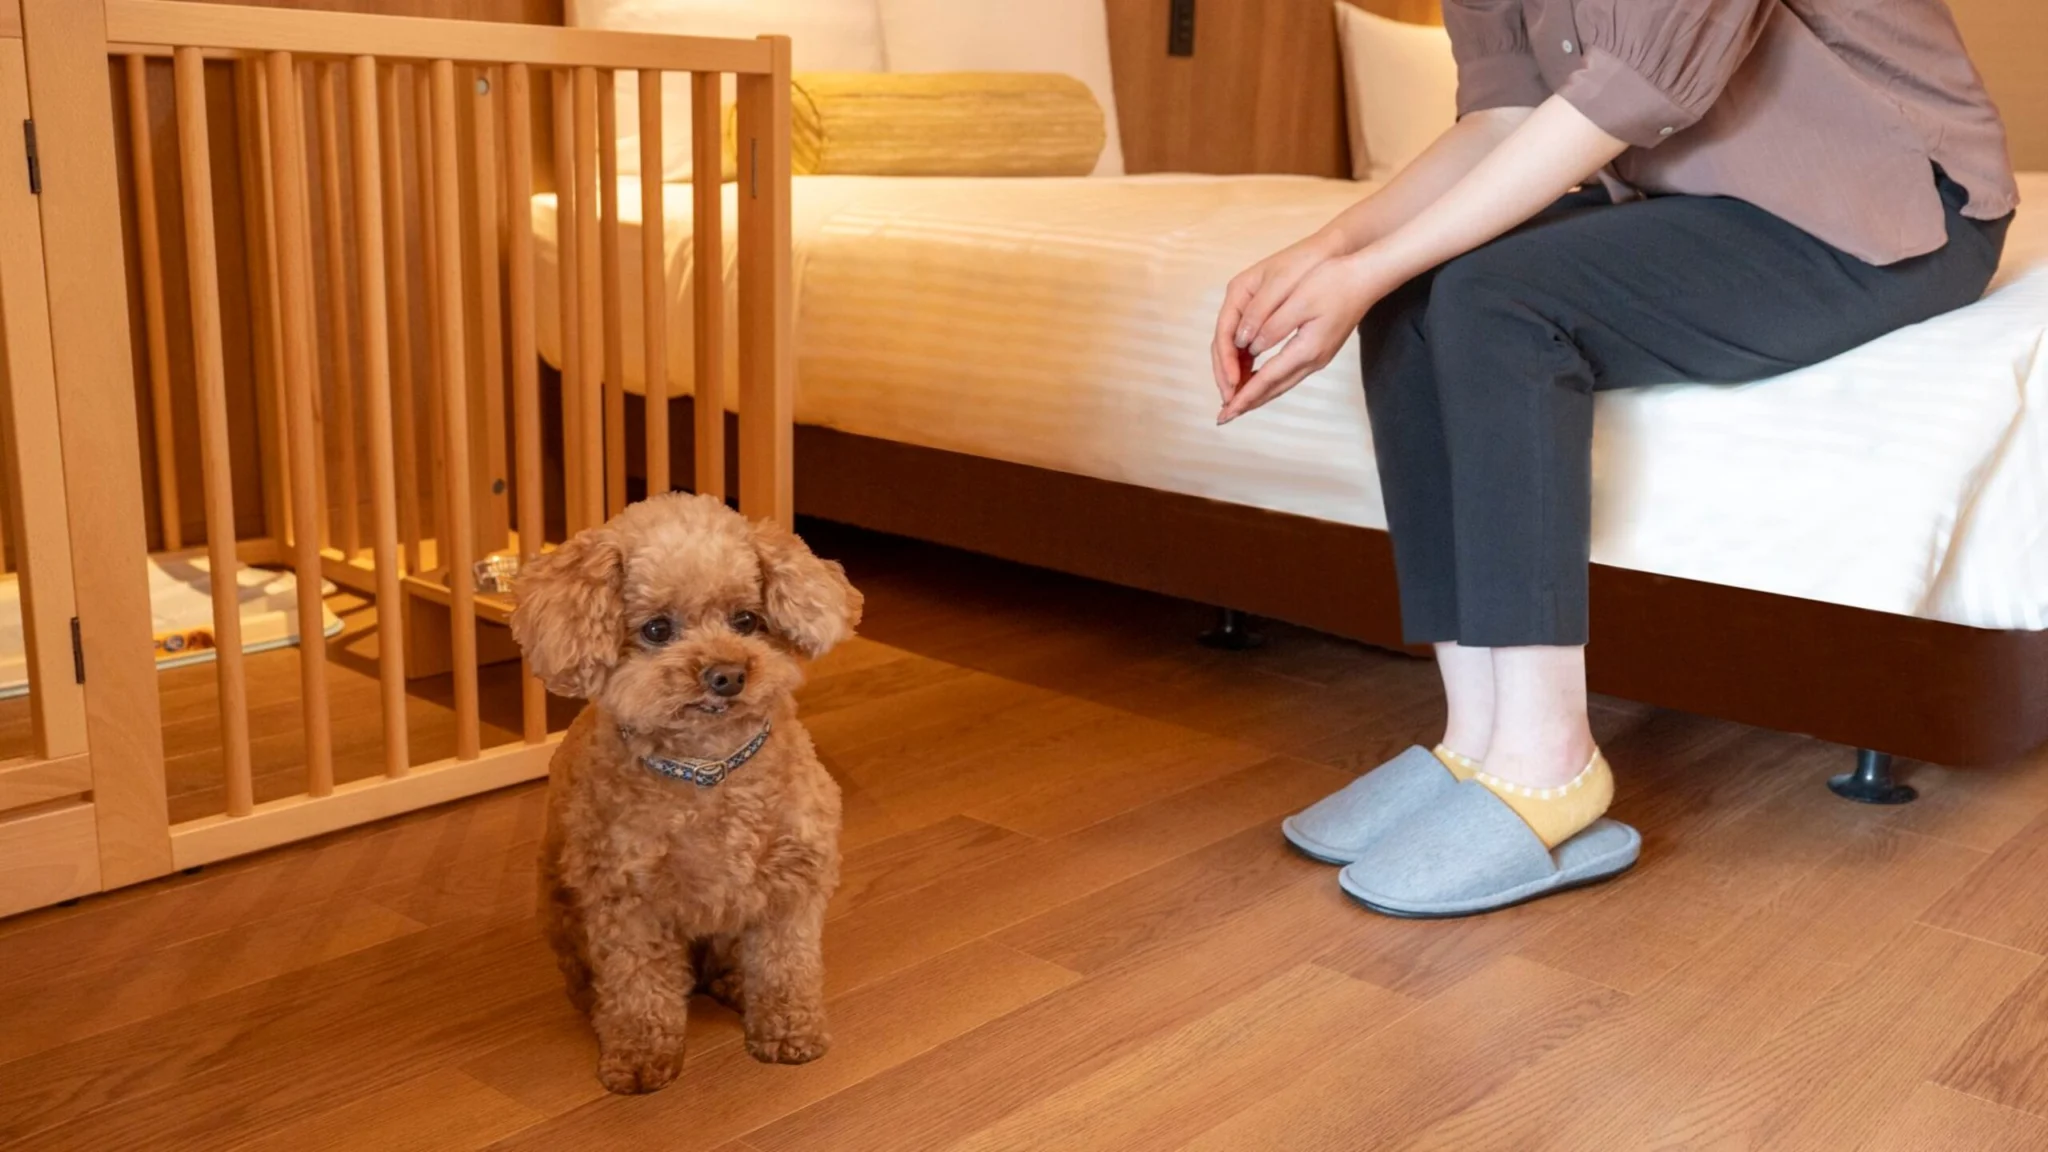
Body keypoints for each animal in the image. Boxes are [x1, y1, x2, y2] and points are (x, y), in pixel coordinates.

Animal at [510, 492, 860, 1095]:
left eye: (746, 620)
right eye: (656, 629)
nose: (727, 674)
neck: (708, 768)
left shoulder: (791, 884)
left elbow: (786, 965)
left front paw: (791, 1032)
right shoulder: (627, 902)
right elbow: (638, 985)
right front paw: (638, 1057)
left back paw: (735, 984)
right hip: (557, 901)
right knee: (595, 975)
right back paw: (595, 1005)